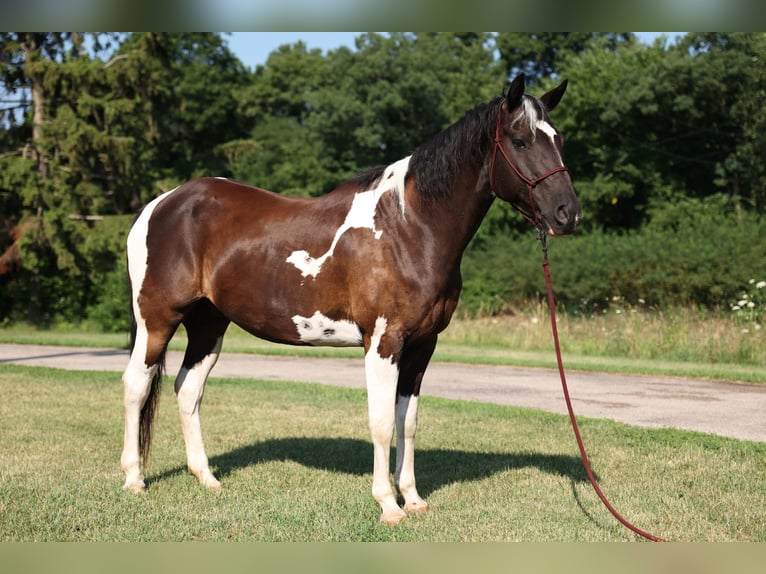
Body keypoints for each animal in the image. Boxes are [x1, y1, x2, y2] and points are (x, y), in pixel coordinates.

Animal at [120, 73, 584, 528]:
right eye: (521, 140)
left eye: (559, 139)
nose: (568, 214)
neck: (409, 228)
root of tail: (160, 205)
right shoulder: (382, 342)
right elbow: (381, 423)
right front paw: (389, 505)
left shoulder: (422, 346)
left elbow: (408, 422)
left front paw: (413, 498)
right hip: (157, 321)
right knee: (137, 385)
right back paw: (134, 480)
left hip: (209, 324)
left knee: (187, 389)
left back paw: (206, 478)